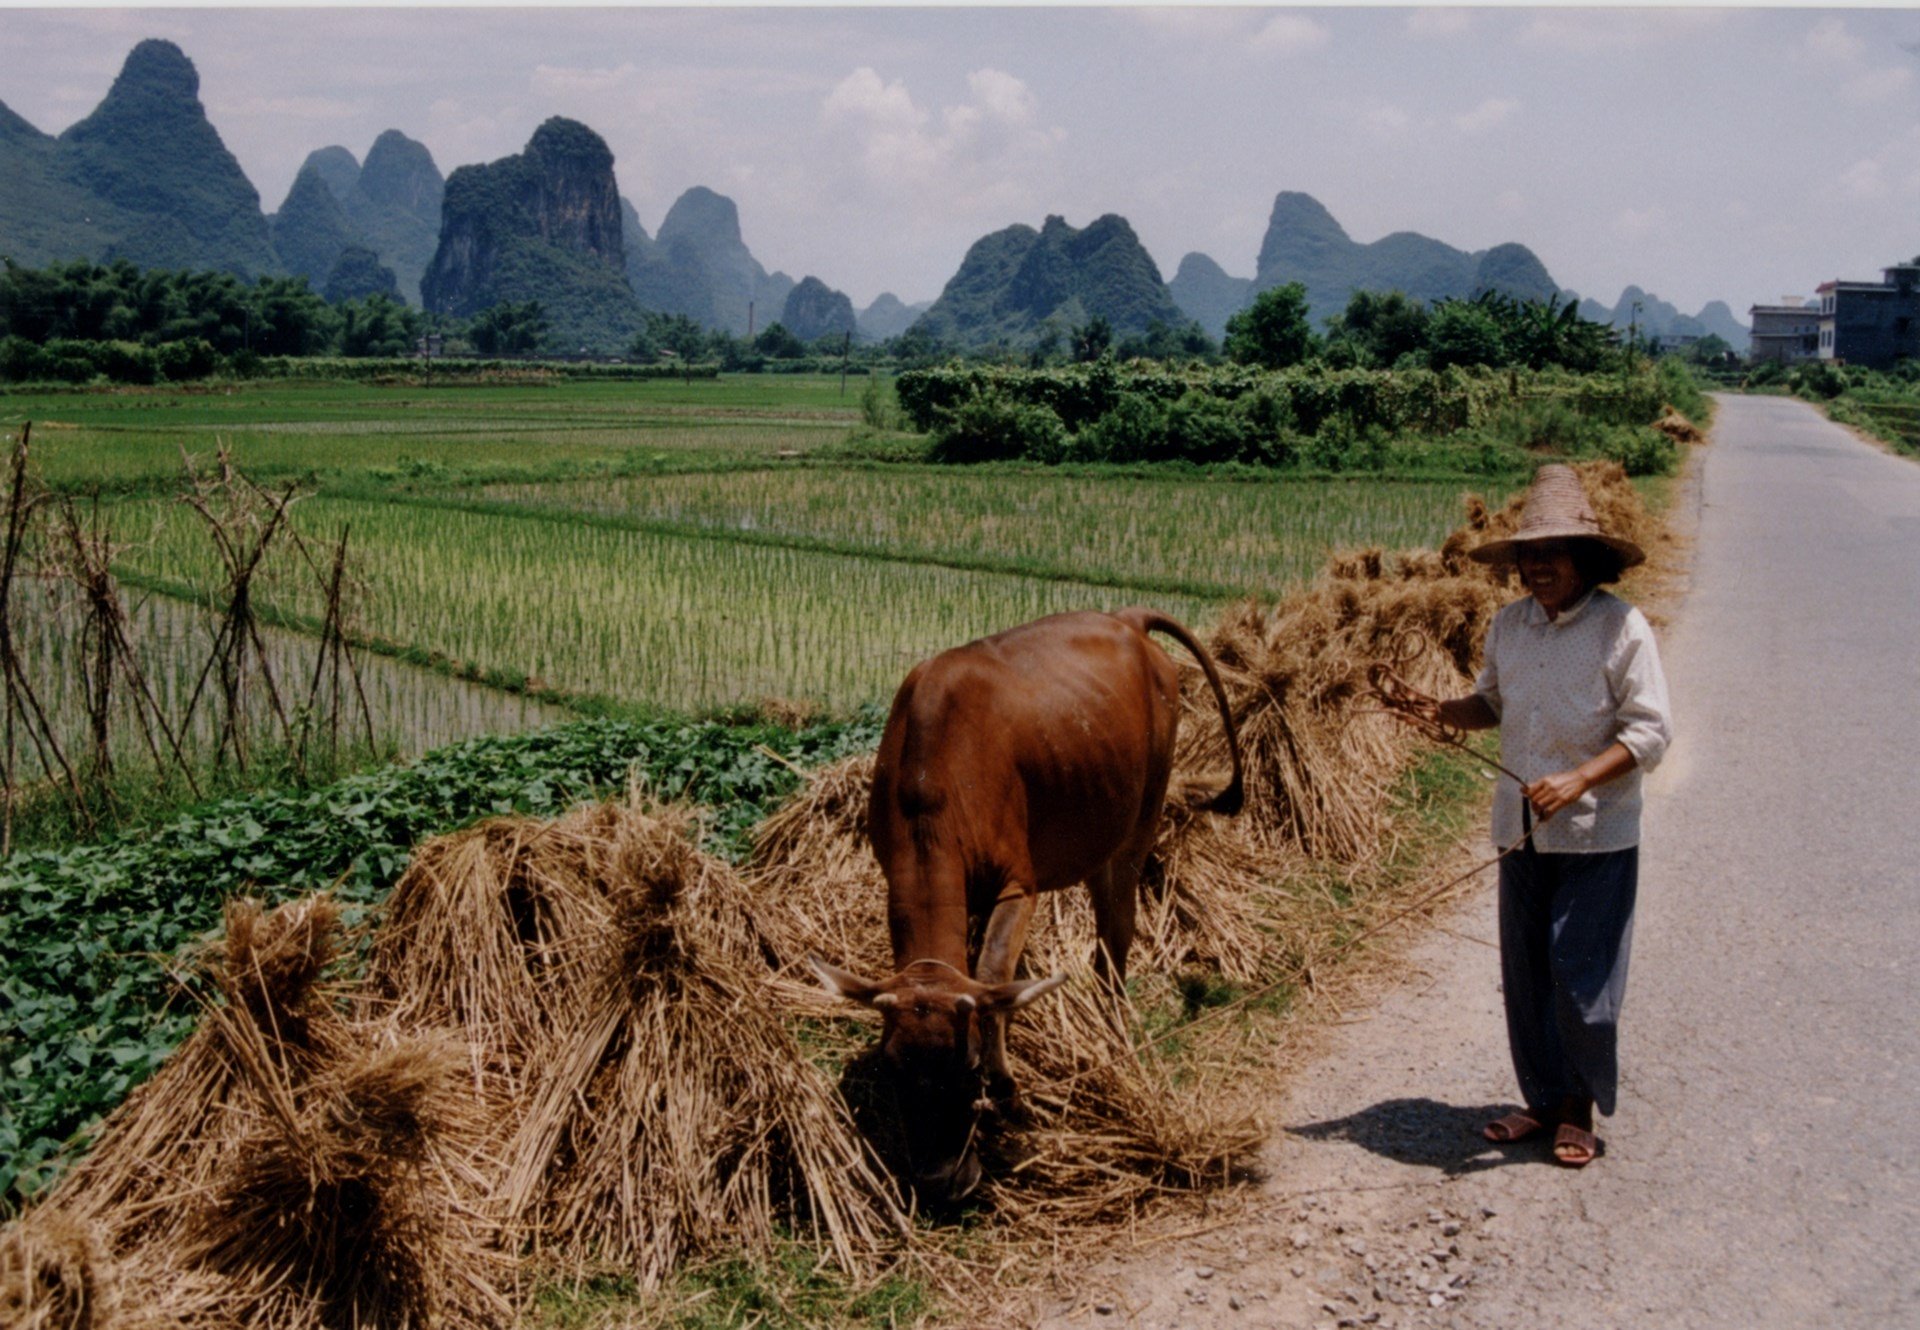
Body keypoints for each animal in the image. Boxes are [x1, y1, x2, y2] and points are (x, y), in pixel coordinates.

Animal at [810, 606, 1244, 1197]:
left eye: (968, 1065)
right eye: (892, 1066)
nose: (941, 1180)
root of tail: (1126, 618)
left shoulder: (1019, 884)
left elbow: (993, 971)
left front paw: (1008, 1086)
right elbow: (982, 969)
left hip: (1142, 818)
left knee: (1117, 931)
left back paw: (1114, 1031)